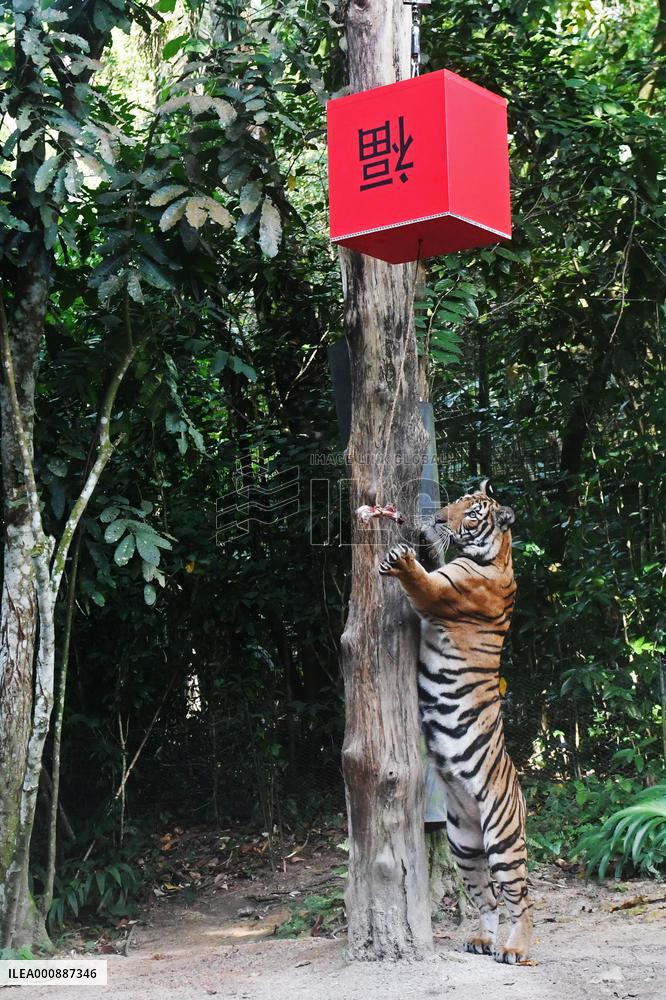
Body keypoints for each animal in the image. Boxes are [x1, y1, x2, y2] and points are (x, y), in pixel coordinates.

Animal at [378, 479, 532, 965]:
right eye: (460, 499)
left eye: (473, 512)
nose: (440, 516)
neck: (499, 555)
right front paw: (424, 537)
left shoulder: (441, 593)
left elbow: (422, 581)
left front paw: (402, 558)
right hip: (463, 842)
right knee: (486, 898)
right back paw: (482, 941)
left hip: (503, 839)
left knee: (520, 897)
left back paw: (515, 949)